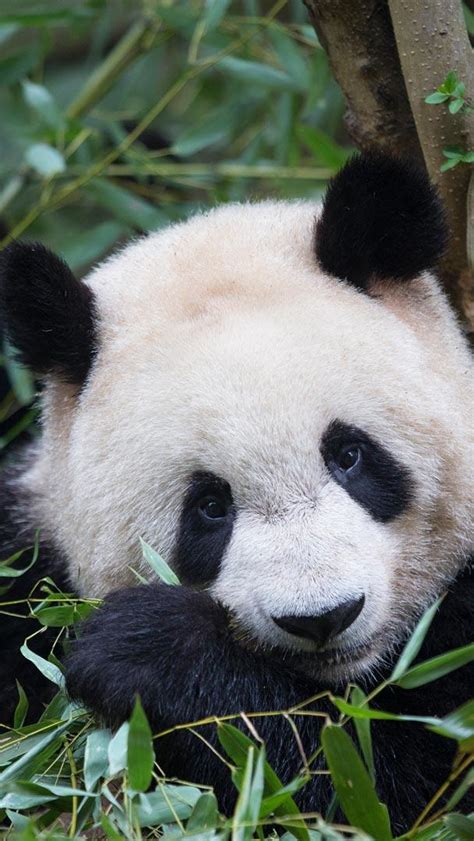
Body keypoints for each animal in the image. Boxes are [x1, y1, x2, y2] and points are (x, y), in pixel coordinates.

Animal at [0, 153, 472, 831]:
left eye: (349, 455)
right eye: (209, 507)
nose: (323, 616)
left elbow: (372, 788)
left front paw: (151, 649)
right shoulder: (24, 563)